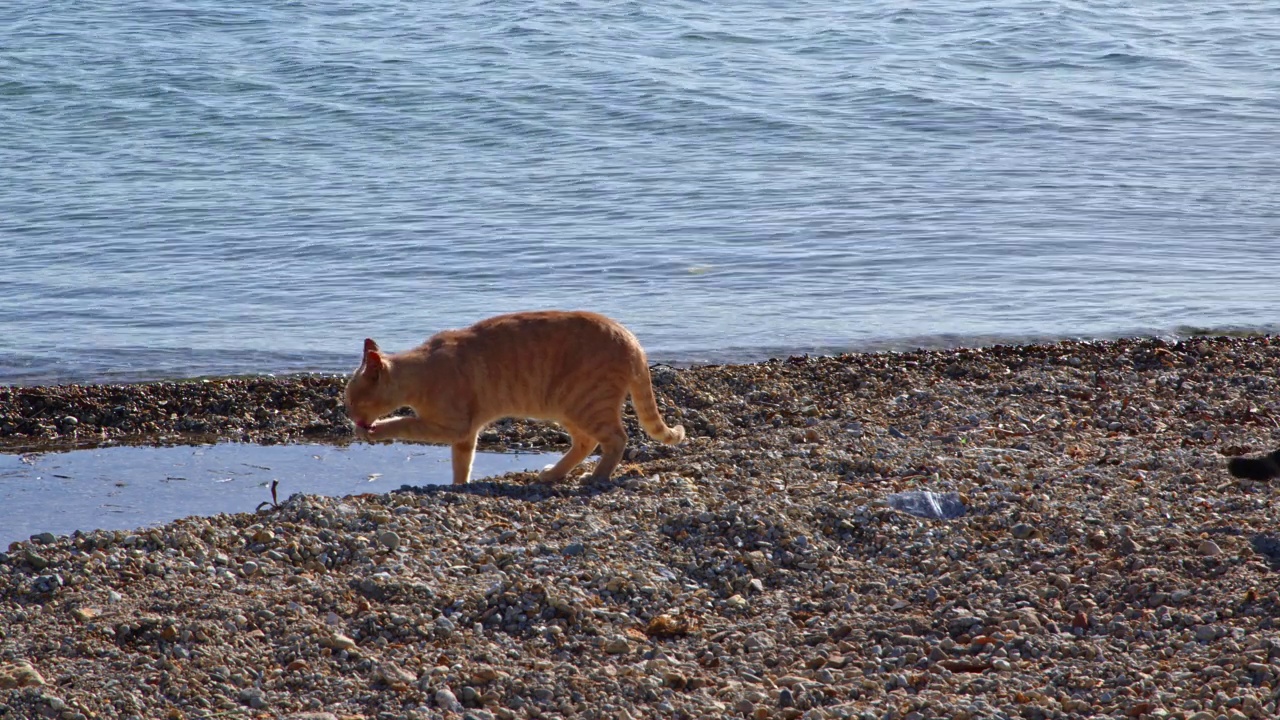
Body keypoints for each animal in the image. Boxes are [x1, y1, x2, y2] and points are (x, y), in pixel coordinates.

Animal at [337, 308, 680, 481]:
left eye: (352, 400)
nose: (350, 415)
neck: (423, 368)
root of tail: (632, 339)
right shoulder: (465, 436)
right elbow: (462, 465)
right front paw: (459, 486)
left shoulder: (453, 426)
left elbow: (403, 422)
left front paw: (373, 430)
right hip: (568, 407)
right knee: (587, 442)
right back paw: (553, 474)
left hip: (583, 403)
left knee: (617, 439)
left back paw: (596, 477)